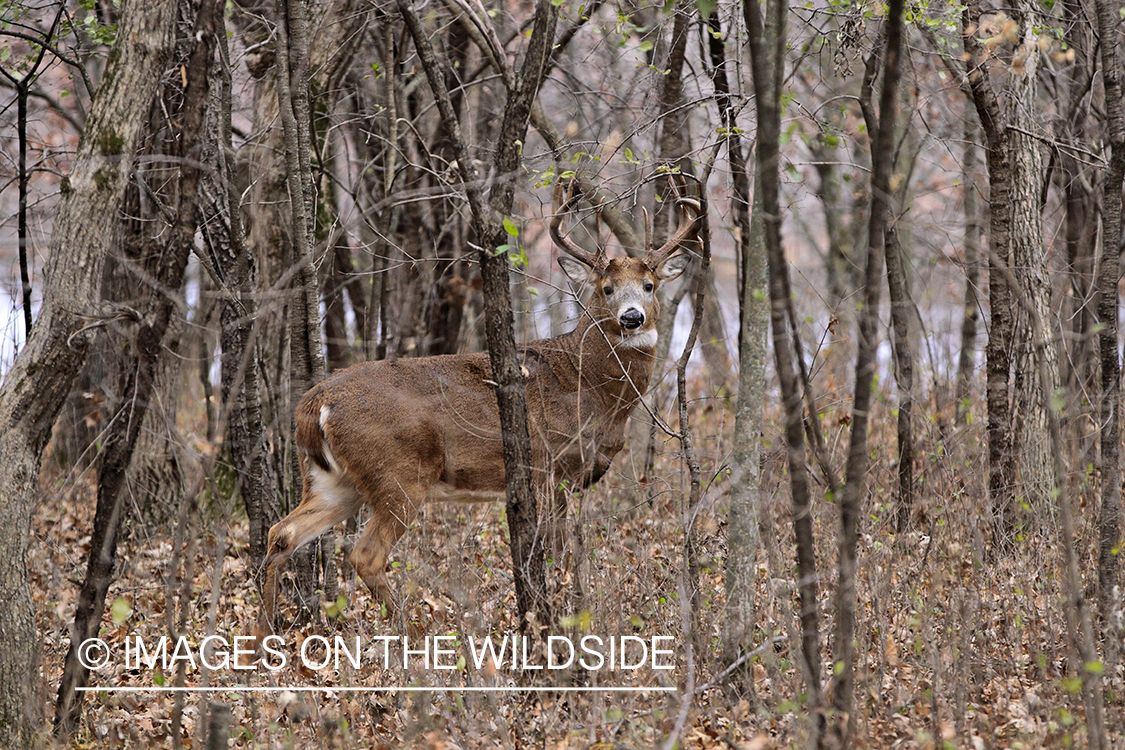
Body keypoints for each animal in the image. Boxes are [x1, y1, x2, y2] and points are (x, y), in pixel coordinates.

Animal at [255, 178, 702, 643]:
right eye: (606, 289)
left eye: (649, 285)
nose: (632, 318)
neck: (587, 385)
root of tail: (315, 404)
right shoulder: (548, 467)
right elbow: (557, 556)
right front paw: (561, 619)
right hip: (400, 473)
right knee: (365, 555)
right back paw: (413, 636)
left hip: (333, 480)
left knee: (282, 532)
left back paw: (260, 639)